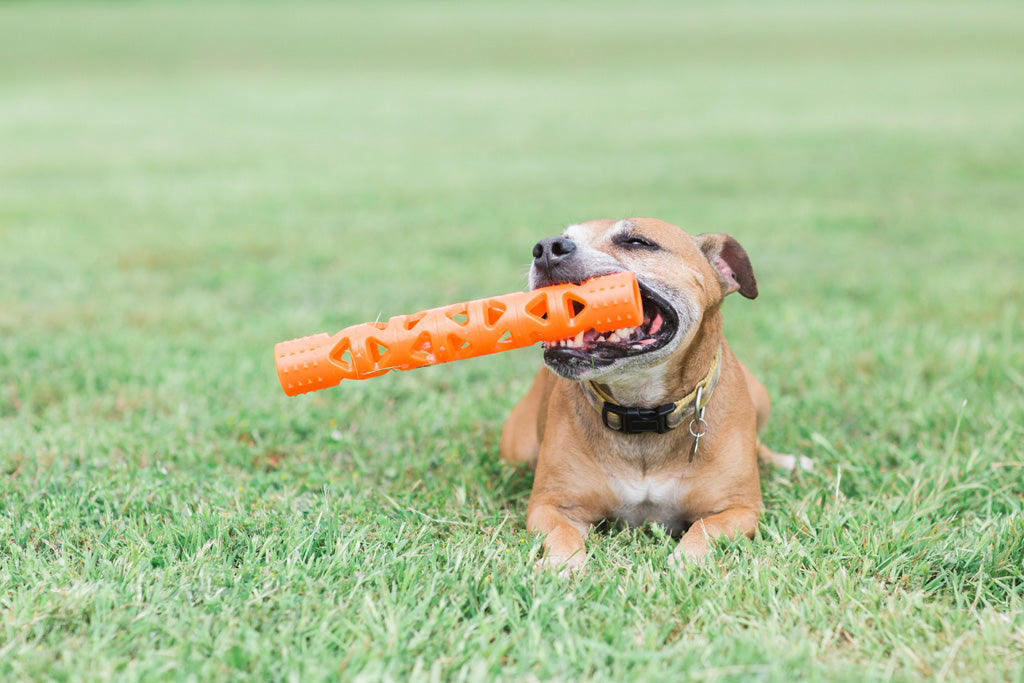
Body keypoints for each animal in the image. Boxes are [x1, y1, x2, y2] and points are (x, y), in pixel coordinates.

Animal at [499, 218, 802, 573]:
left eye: (637, 242)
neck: (641, 408)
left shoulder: (739, 509)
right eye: (565, 236)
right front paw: (561, 566)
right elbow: (562, 534)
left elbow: (706, 529)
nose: (547, 248)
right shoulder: (552, 506)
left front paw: (686, 562)